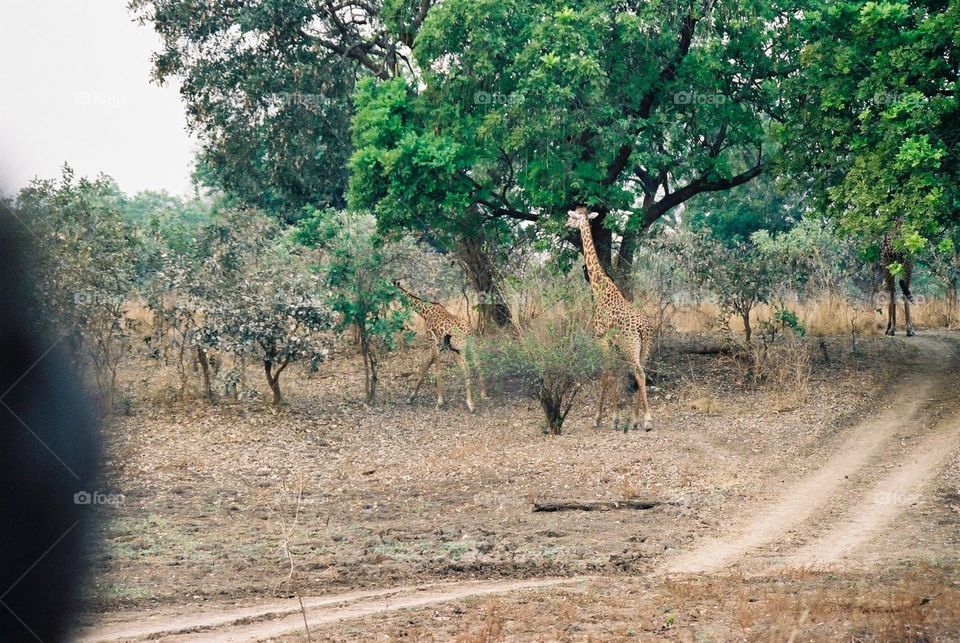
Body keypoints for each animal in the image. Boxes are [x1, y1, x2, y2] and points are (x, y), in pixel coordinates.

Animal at [392, 280, 488, 412]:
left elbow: (436, 369)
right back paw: (483, 394)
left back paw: (470, 404)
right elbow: (426, 366)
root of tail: (468, 332)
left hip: (457, 350)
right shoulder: (439, 345)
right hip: (471, 346)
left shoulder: (432, 341)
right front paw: (411, 397)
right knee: (477, 363)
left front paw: (439, 402)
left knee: (466, 368)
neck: (425, 312)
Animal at [568, 209, 656, 432]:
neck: (598, 286)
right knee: (642, 373)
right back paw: (635, 420)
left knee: (639, 373)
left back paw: (647, 420)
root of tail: (644, 329)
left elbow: (605, 373)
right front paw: (615, 418)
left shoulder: (602, 339)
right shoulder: (613, 345)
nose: (566, 225)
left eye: (571, 217)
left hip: (630, 347)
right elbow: (614, 373)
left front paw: (601, 418)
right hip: (644, 349)